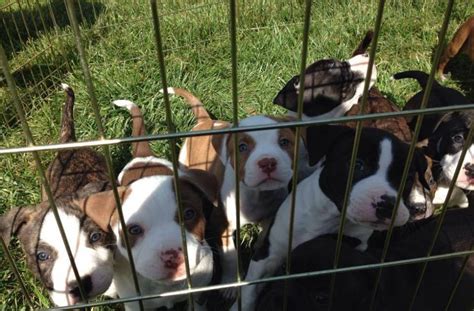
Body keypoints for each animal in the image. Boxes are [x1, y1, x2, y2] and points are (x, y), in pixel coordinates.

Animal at [231, 125, 430, 310]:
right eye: (357, 165)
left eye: (408, 179)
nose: (387, 204)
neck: (333, 218)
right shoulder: (269, 254)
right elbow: (250, 290)